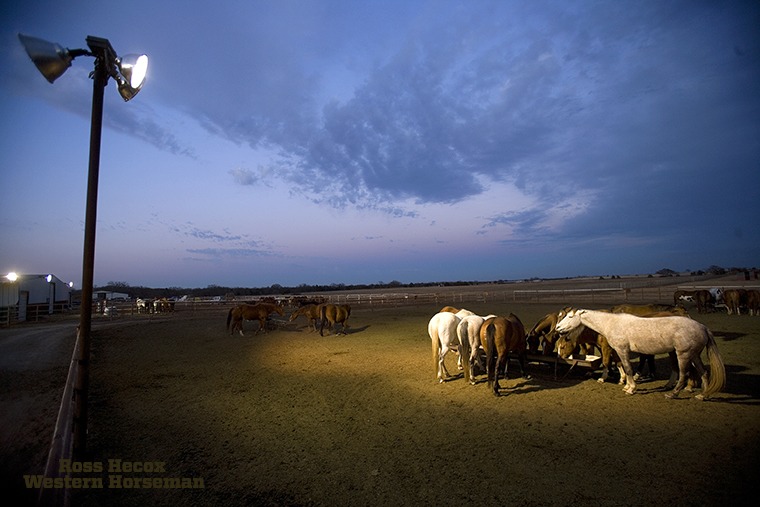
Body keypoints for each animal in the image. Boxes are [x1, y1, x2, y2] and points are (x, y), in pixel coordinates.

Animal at [555, 309, 726, 399]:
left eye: (570, 316)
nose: (557, 328)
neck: (611, 323)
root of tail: (703, 327)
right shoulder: (617, 351)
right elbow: (622, 366)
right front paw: (626, 385)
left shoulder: (622, 350)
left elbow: (628, 368)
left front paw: (631, 388)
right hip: (694, 355)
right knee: (704, 373)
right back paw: (703, 395)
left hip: (683, 354)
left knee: (683, 374)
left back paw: (673, 393)